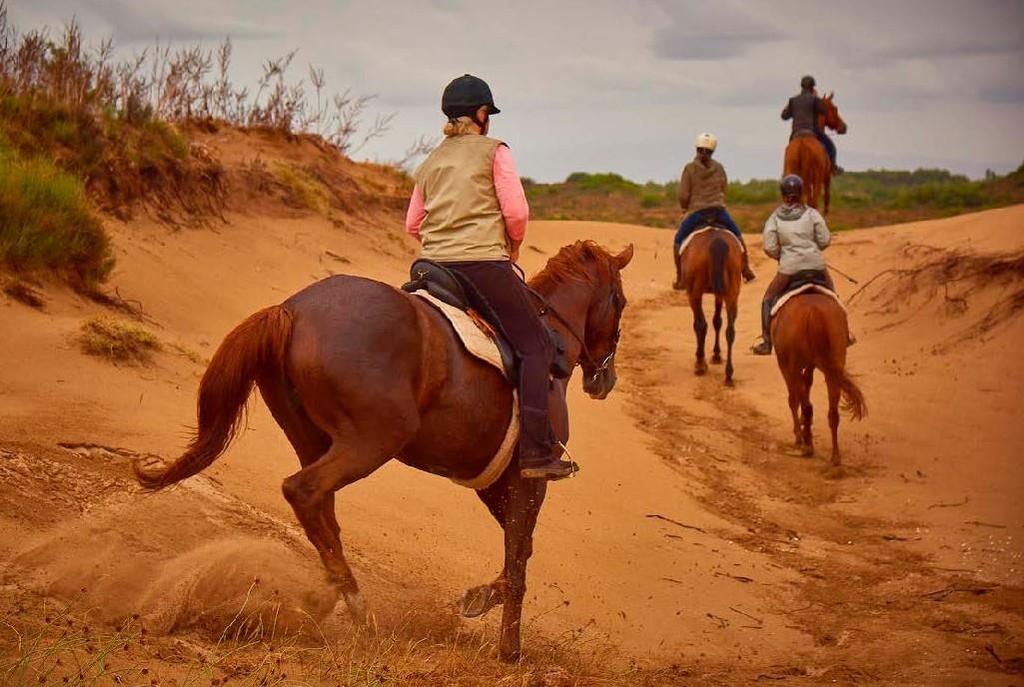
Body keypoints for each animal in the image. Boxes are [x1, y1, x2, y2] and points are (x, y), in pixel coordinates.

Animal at [134, 240, 630, 659]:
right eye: (620, 302)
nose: (604, 379)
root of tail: (291, 310)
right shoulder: (529, 479)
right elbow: (520, 552)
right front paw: (510, 649)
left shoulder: (493, 482)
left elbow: (517, 549)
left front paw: (480, 599)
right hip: (373, 440)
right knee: (304, 490)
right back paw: (355, 605)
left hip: (315, 439)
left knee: (321, 509)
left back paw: (332, 596)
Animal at [679, 231, 745, 387]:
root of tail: (717, 240)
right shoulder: (719, 293)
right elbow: (717, 321)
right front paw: (716, 355)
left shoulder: (694, 294)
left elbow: (701, 325)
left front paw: (702, 361)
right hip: (732, 292)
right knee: (730, 331)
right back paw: (728, 375)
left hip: (694, 292)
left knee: (701, 325)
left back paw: (700, 364)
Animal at [770, 292, 868, 464]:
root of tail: (814, 311)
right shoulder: (810, 364)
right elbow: (807, 383)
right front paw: (803, 426)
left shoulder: (785, 364)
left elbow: (794, 399)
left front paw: (798, 434)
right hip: (833, 366)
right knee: (832, 412)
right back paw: (835, 456)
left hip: (793, 365)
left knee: (803, 404)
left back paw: (807, 444)